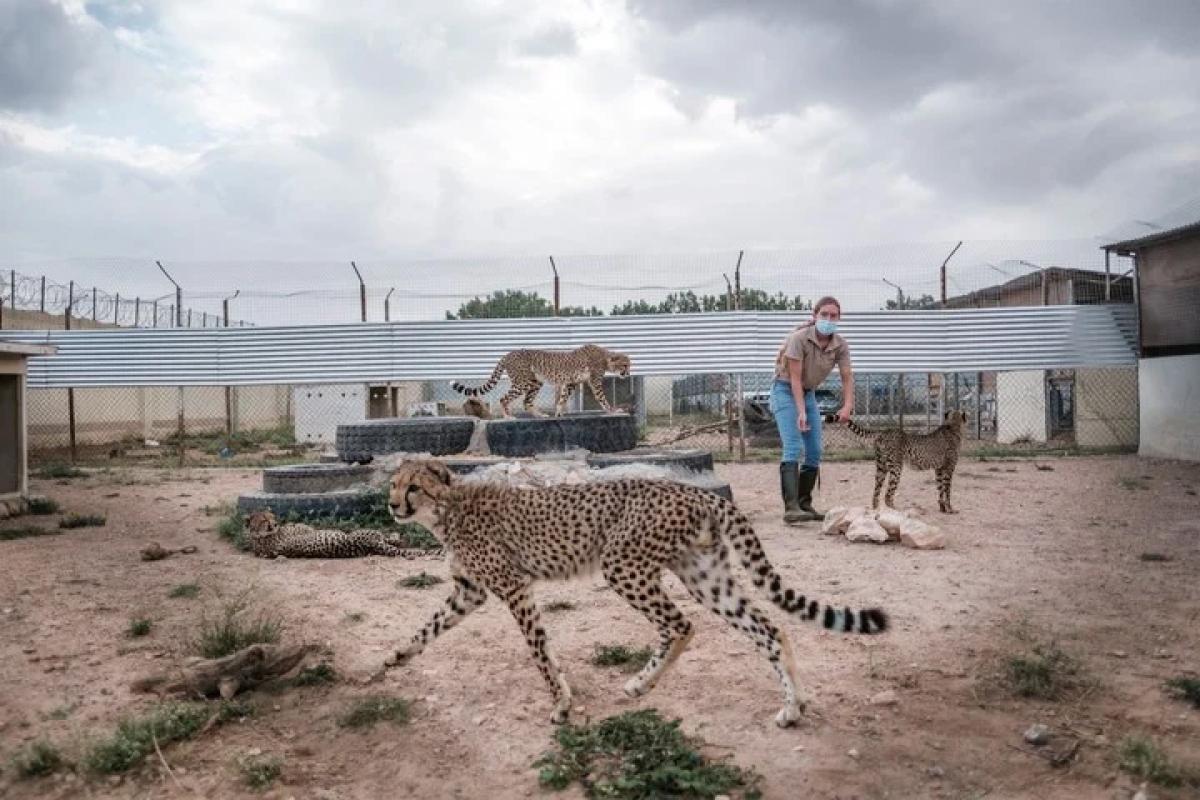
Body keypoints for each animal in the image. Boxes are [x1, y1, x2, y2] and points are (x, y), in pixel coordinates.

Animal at [374, 460, 892, 729]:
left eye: (413, 487)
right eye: (393, 485)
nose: (393, 505)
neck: (446, 510)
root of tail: (697, 491)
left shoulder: (513, 587)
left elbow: (539, 651)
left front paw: (561, 703)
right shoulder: (469, 592)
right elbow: (425, 630)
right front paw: (390, 660)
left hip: (622, 564)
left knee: (681, 625)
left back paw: (643, 683)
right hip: (705, 575)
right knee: (768, 629)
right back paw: (792, 707)